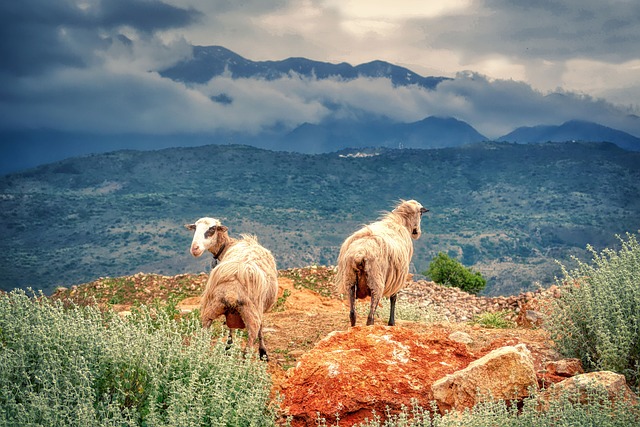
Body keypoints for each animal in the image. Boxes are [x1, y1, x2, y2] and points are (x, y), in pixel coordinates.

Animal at [182, 217, 278, 362]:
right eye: (195, 228)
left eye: (212, 229)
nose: (195, 249)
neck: (230, 245)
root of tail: (232, 291)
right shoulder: (261, 307)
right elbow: (260, 327)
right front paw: (263, 352)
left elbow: (230, 328)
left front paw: (228, 348)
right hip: (251, 314)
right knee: (249, 345)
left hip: (211, 309)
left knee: (203, 336)